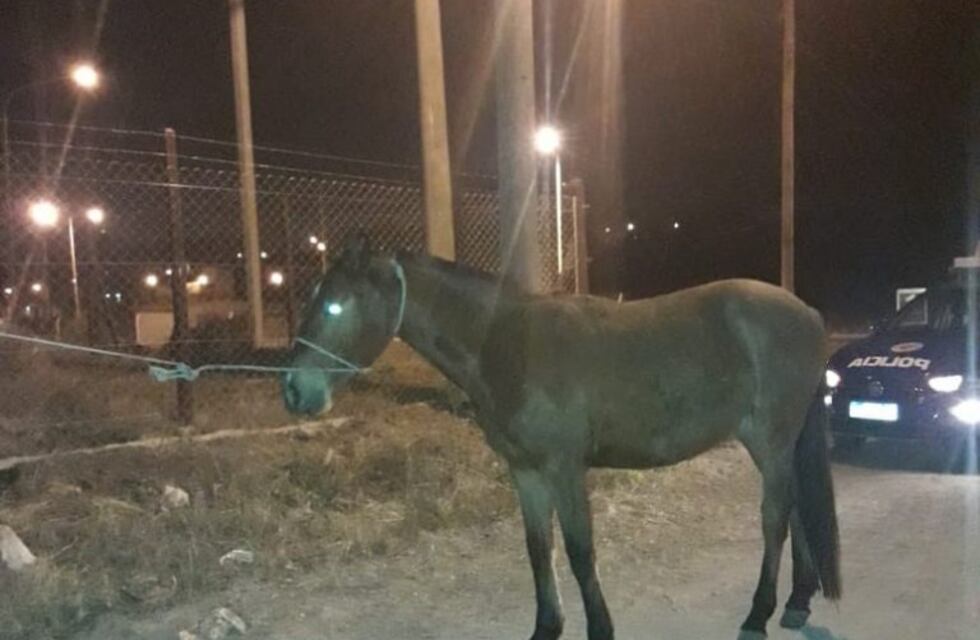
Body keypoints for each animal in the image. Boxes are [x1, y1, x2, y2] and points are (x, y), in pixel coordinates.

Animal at [281, 235, 841, 640]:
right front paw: (546, 628)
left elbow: (578, 550)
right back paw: (796, 603)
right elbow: (538, 548)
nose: (292, 389)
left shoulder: (565, 469)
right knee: (794, 509)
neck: (508, 345)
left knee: (774, 519)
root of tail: (810, 315)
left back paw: (758, 615)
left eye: (334, 308)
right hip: (773, 445)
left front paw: (599, 629)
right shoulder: (525, 472)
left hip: (771, 441)